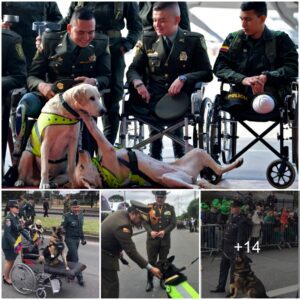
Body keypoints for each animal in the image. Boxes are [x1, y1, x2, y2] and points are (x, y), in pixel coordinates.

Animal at [73, 113, 244, 189]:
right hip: (168, 178)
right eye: (80, 167)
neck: (101, 171)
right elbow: (95, 131)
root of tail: (191, 176)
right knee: (199, 184)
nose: (80, 150)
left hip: (196, 153)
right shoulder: (108, 151)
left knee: (215, 169)